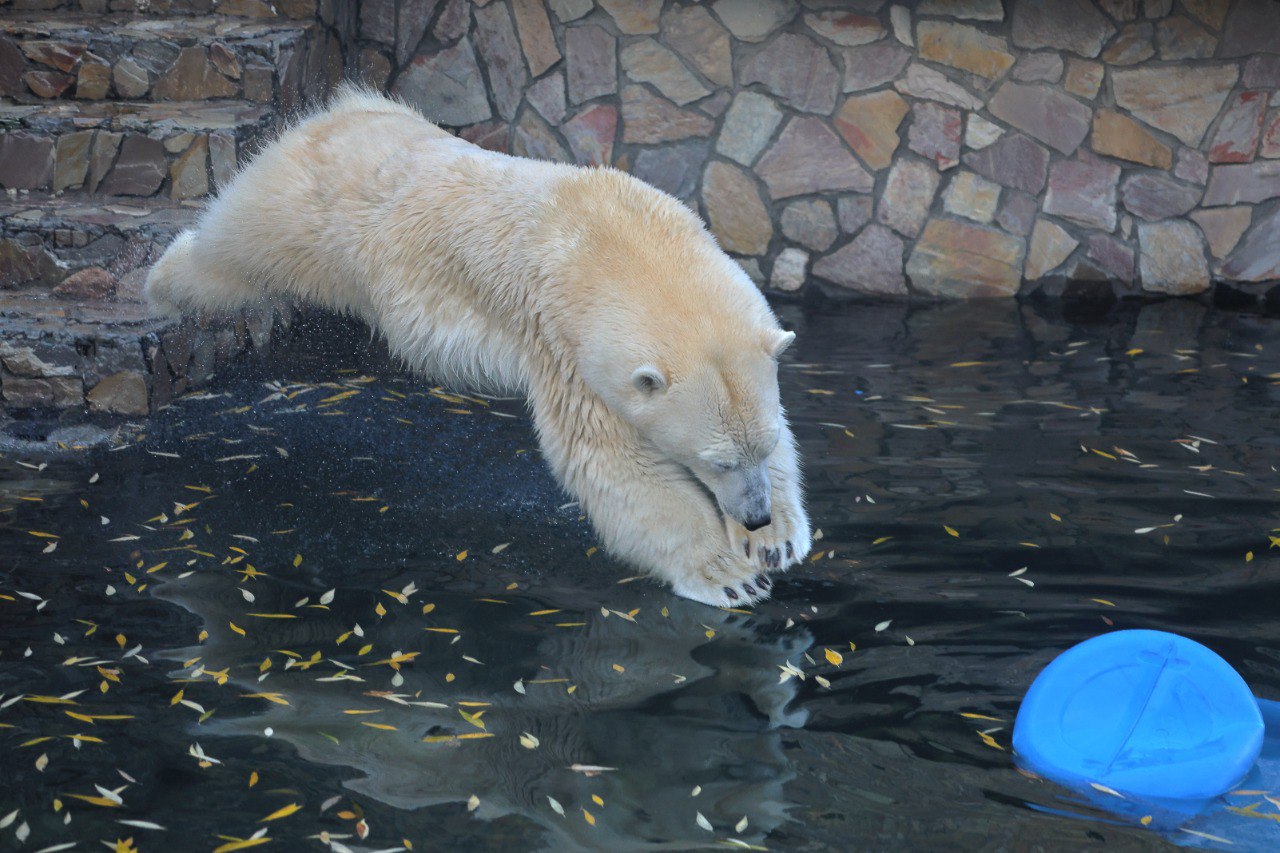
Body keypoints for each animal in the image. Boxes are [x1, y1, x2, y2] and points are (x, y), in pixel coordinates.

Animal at [147, 84, 808, 604]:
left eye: (762, 447)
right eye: (716, 461)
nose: (755, 515)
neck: (618, 241)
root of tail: (344, 113)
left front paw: (775, 544)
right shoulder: (565, 345)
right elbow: (617, 467)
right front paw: (729, 575)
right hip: (307, 216)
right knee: (231, 253)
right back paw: (160, 277)